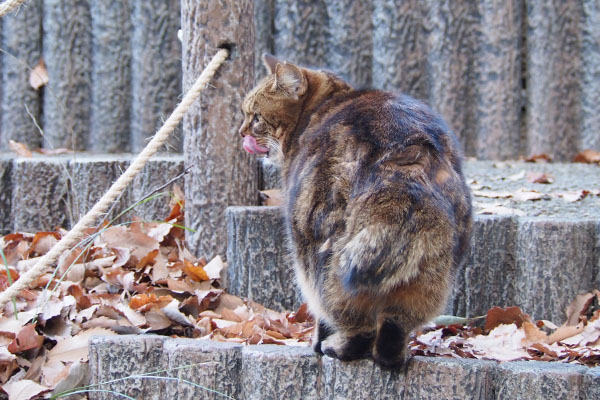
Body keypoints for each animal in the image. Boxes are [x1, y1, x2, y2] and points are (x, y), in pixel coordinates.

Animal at [237, 53, 472, 368]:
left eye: (256, 117)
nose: (242, 132)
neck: (325, 104)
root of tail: (406, 164)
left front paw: (317, 343)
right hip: (432, 275)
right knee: (393, 331)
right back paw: (395, 356)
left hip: (320, 254)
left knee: (353, 323)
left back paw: (334, 348)